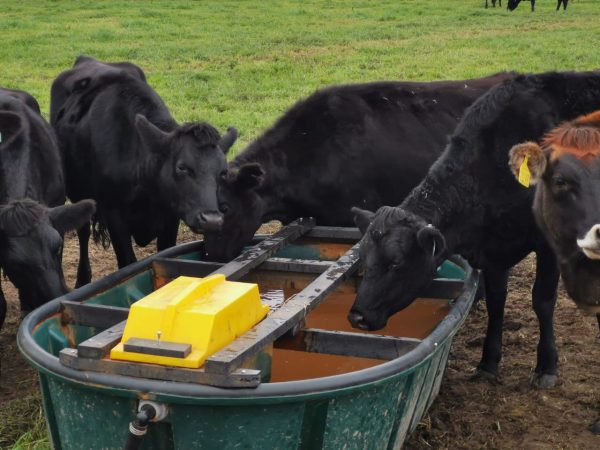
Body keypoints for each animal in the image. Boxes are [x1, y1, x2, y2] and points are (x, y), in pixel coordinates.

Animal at [51, 55, 238, 282]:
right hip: (77, 192)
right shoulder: (115, 216)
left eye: (223, 172)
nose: (211, 220)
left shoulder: (170, 216)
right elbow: (127, 263)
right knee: (83, 230)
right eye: (182, 167)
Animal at [350, 68, 600, 388]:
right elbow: (496, 300)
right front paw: (488, 361)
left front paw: (546, 366)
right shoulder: (493, 249)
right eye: (364, 260)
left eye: (396, 263)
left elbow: (542, 301)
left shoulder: (548, 244)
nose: (357, 317)